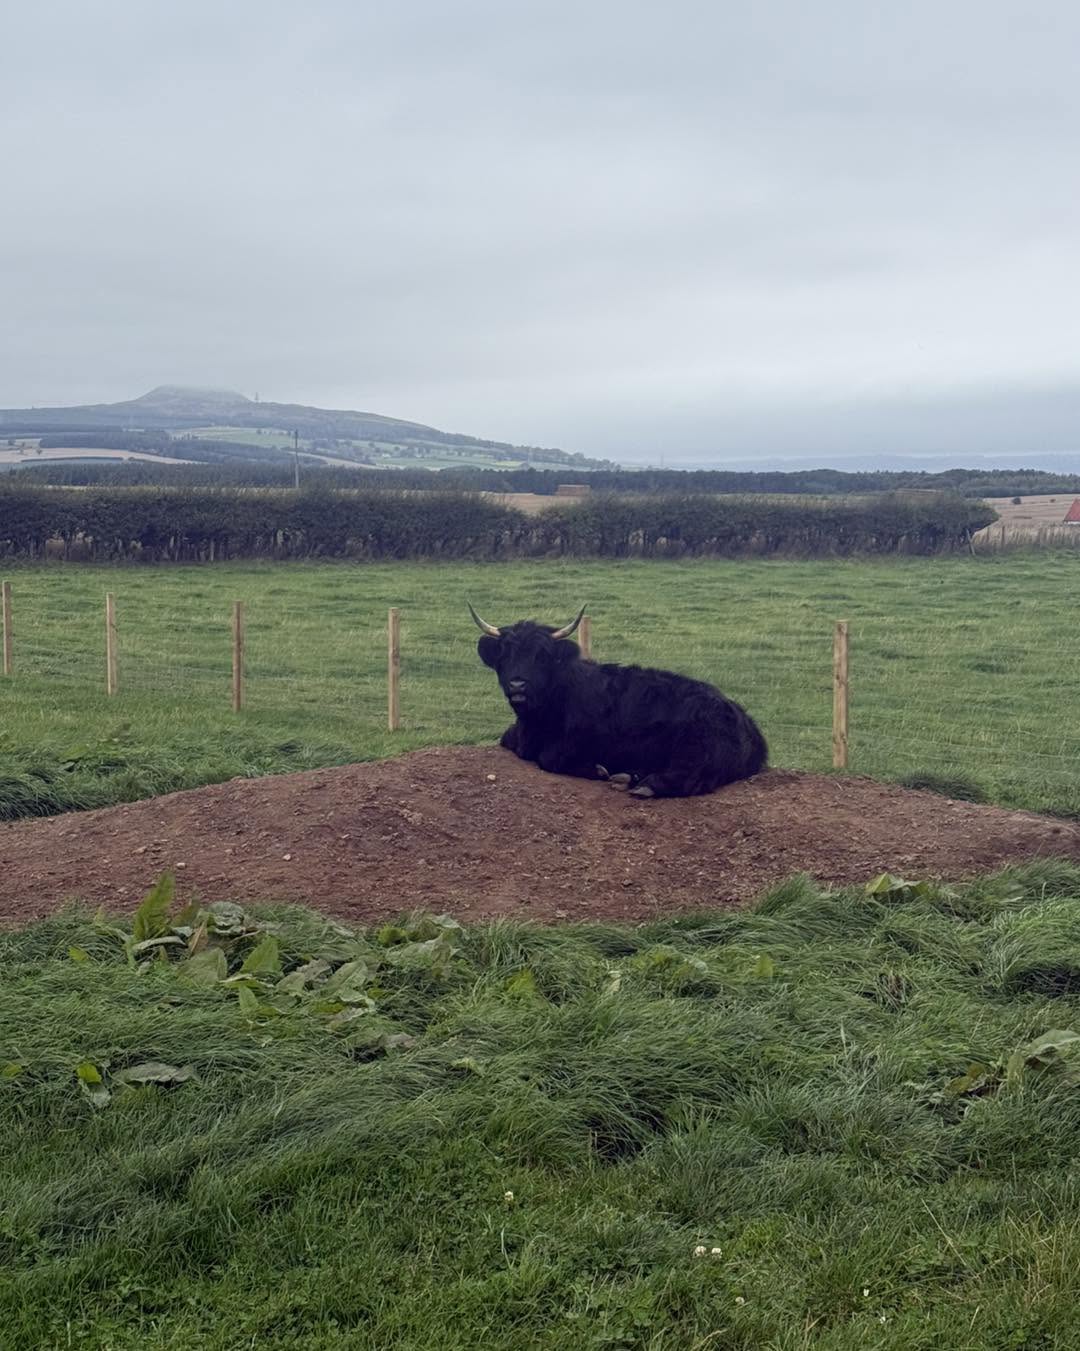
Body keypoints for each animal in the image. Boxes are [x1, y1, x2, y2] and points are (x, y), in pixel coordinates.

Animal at [469, 604, 767, 798]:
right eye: (505, 654)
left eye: (541, 656)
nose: (517, 684)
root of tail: (744, 719)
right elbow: (507, 740)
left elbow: (549, 757)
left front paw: (598, 769)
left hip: (697, 748)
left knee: (695, 776)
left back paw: (643, 784)